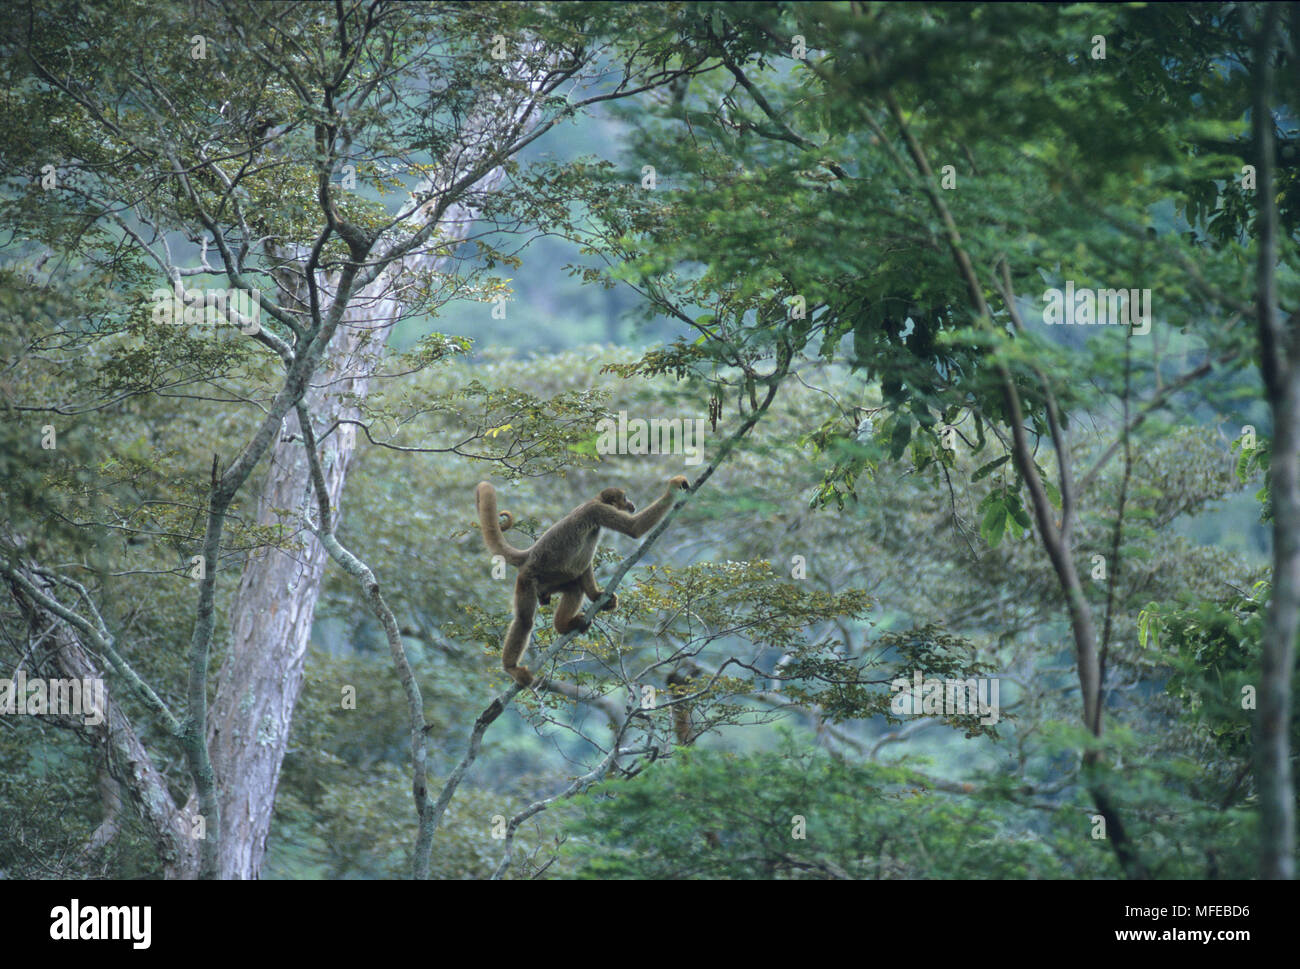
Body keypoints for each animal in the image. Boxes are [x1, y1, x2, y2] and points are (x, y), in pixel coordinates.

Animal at [473, 476, 686, 686]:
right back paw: (512, 667)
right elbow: (634, 528)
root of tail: (529, 555)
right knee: (525, 621)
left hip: (549, 582)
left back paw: (562, 625)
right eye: (625, 499)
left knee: (574, 589)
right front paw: (674, 488)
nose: (631, 504)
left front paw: (597, 596)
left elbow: (584, 566)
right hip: (528, 579)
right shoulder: (597, 511)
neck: (595, 500)